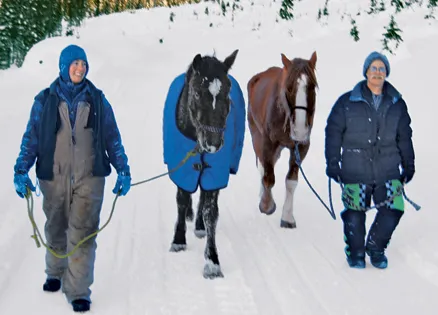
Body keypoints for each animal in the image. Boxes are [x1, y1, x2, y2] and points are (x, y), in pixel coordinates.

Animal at [169, 50, 238, 280]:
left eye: (228, 92)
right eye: (198, 93)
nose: (213, 144)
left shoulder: (216, 171)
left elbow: (210, 211)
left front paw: (212, 262)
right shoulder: (181, 166)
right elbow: (182, 200)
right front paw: (178, 240)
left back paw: (198, 224)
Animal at [246, 51, 318, 230]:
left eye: (312, 87)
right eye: (289, 87)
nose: (300, 129)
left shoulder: (301, 147)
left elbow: (291, 181)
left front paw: (287, 217)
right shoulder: (267, 142)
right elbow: (268, 176)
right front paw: (266, 205)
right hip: (256, 134)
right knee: (262, 167)